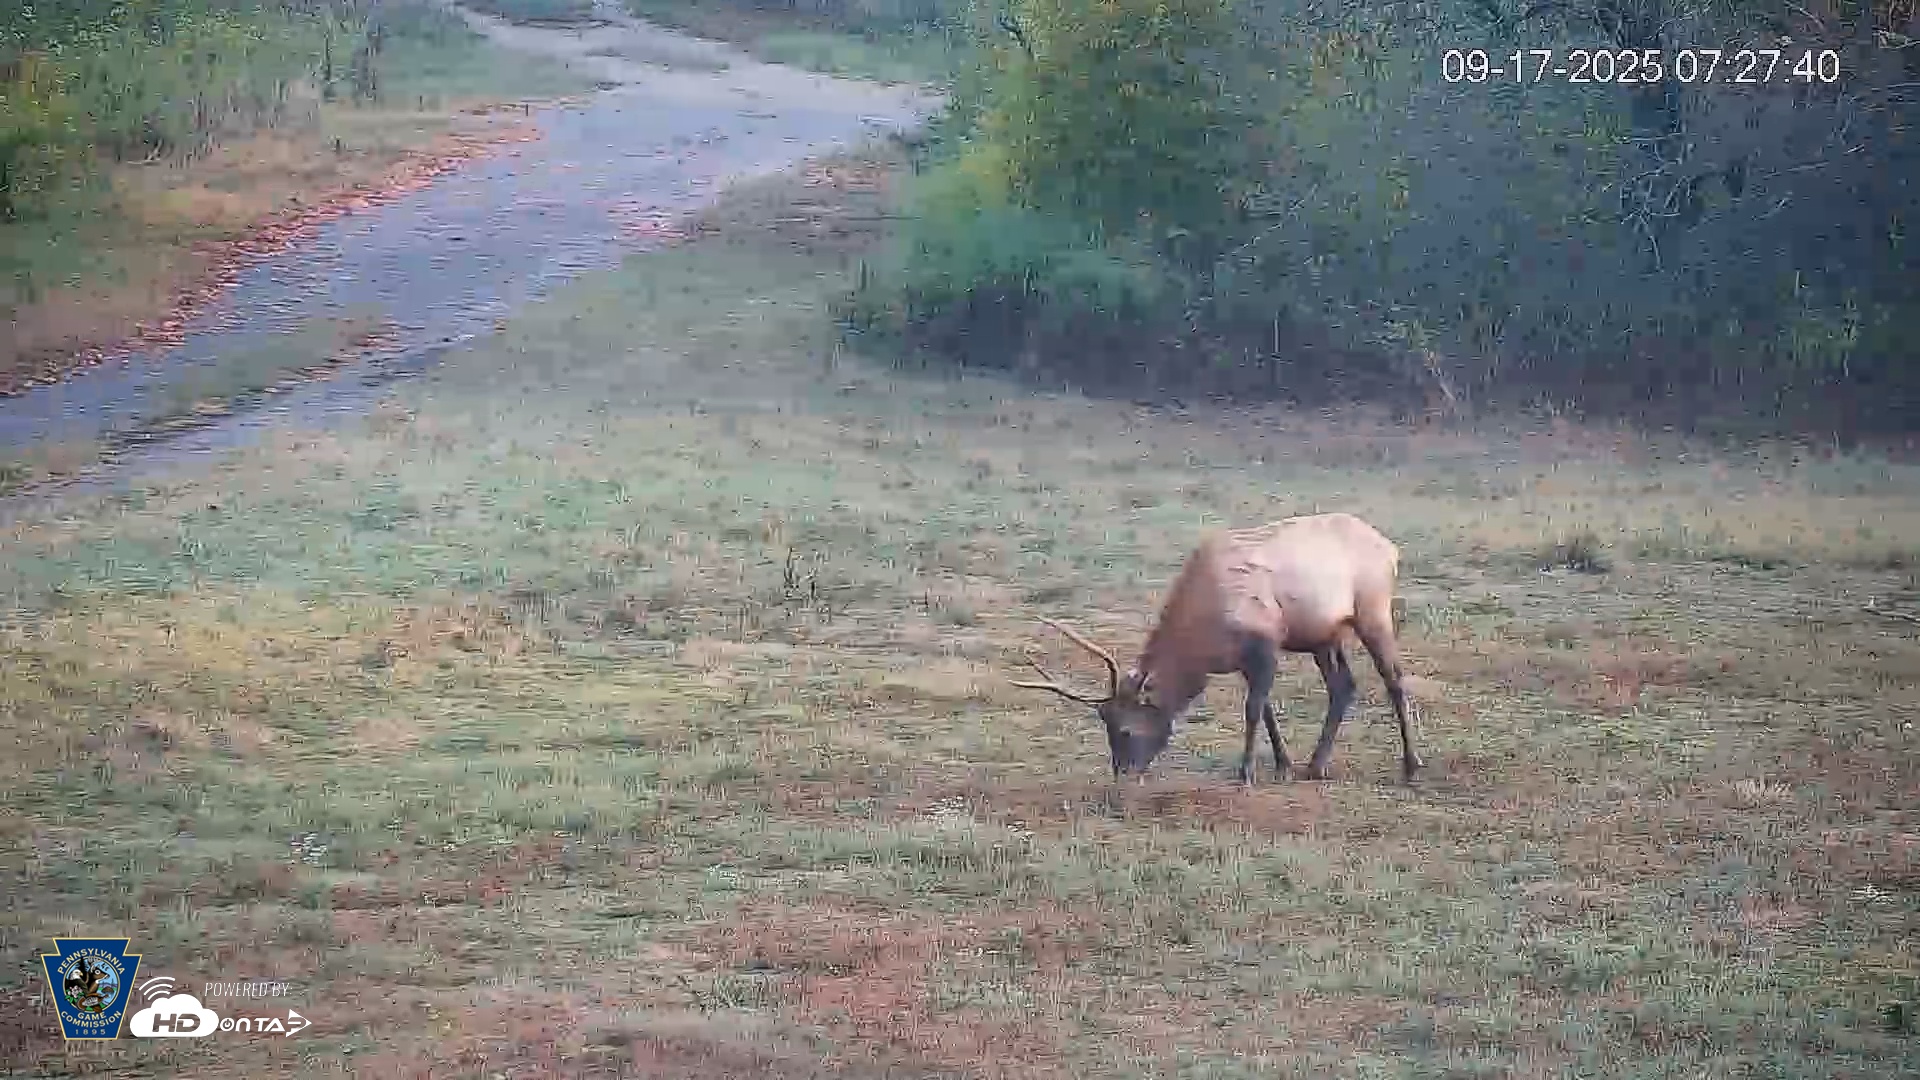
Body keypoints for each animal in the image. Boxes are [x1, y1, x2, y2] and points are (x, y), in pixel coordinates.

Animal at [1010, 512, 1425, 784]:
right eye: (1104, 721)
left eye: (1125, 730)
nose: (1123, 772)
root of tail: (1391, 549)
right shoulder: (1243, 659)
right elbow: (1268, 709)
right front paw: (1284, 765)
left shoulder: (1266, 642)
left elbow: (1254, 709)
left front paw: (1247, 772)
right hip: (1324, 633)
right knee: (1344, 686)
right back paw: (1316, 765)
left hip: (1372, 611)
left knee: (1393, 678)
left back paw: (1411, 765)